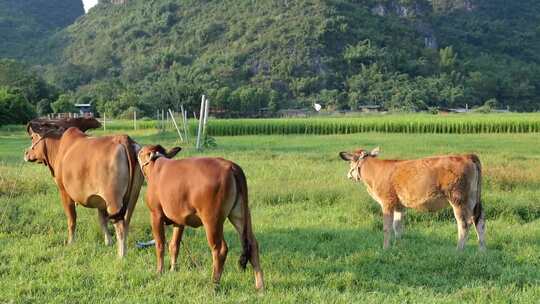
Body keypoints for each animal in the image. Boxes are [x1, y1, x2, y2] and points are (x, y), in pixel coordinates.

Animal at [24, 120, 143, 258]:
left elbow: (72, 220)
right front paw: (108, 241)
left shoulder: (64, 193)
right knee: (126, 222)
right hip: (133, 196)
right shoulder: (100, 201)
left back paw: (121, 255)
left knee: (120, 227)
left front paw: (70, 242)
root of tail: (122, 138)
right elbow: (102, 220)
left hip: (113, 200)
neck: (59, 148)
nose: (26, 153)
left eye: (33, 137)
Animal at [138, 146, 264, 290]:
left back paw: (214, 285)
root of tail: (230, 166)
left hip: (212, 220)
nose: (138, 151)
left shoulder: (155, 214)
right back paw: (260, 286)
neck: (156, 165)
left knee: (220, 250)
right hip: (241, 215)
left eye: (141, 152)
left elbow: (160, 244)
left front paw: (159, 271)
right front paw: (172, 270)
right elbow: (174, 245)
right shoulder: (179, 220)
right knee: (252, 244)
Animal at [338, 148, 486, 251]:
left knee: (464, 224)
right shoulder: (399, 205)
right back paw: (481, 251)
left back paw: (458, 250)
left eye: (350, 161)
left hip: (458, 199)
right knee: (479, 221)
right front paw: (398, 246)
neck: (375, 171)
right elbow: (397, 227)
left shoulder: (387, 202)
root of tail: (466, 155)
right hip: (473, 199)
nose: (348, 175)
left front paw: (385, 248)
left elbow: (387, 227)